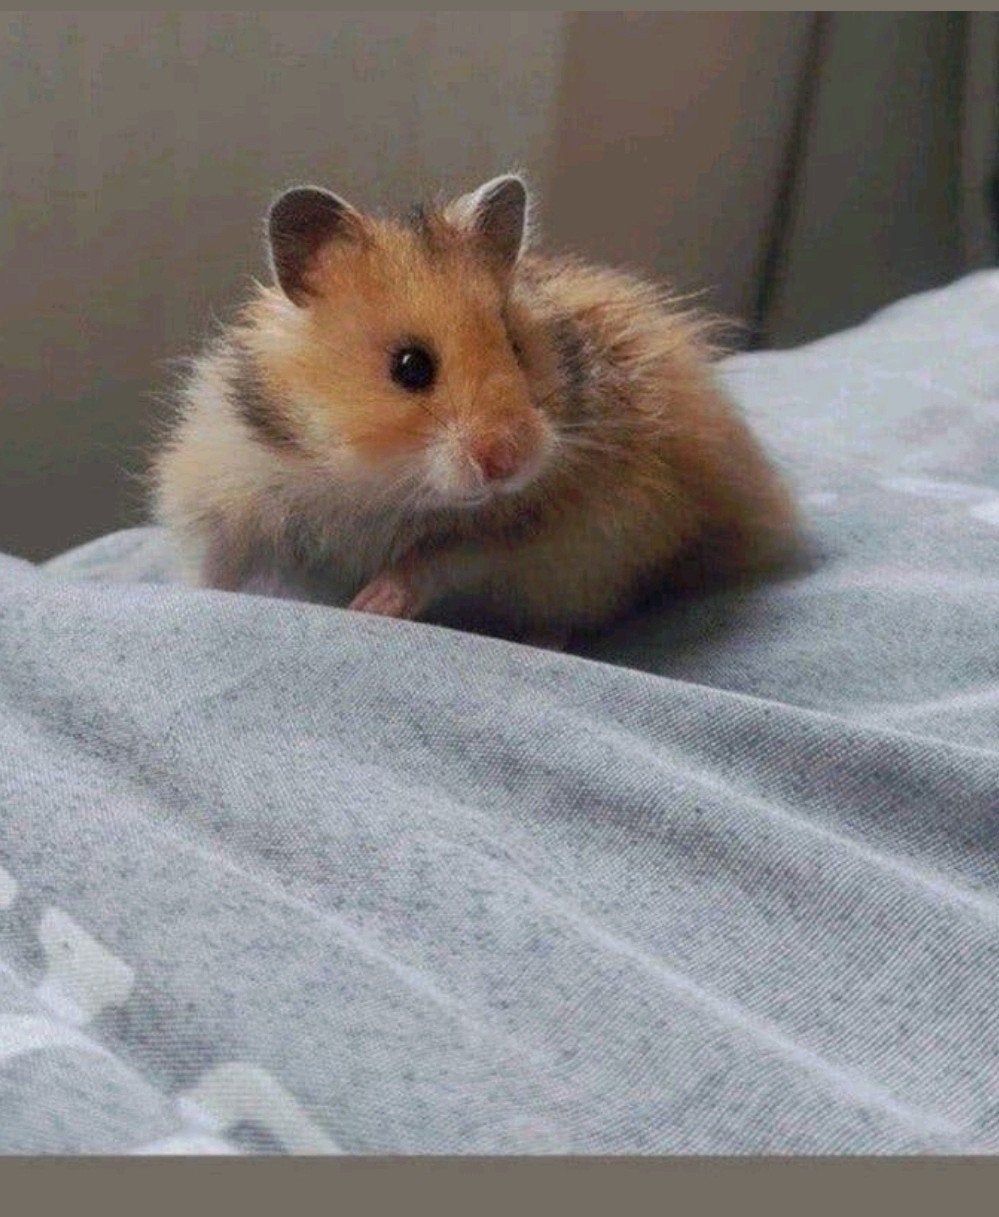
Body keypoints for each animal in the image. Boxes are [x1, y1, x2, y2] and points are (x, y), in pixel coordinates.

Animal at [151, 173, 801, 647]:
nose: (508, 461)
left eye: (516, 347)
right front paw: (191, 596)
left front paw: (371, 604)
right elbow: (210, 564)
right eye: (410, 366)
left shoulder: (531, 529)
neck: (374, 486)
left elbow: (436, 559)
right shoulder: (220, 488)